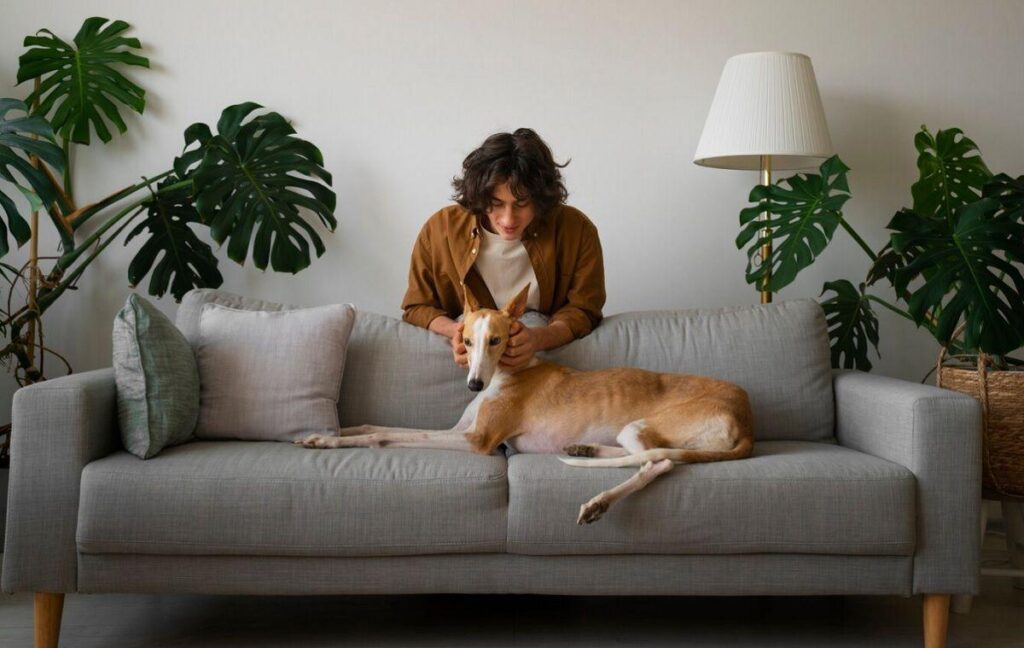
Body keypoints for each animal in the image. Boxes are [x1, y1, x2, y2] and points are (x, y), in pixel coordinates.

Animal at [296, 284, 753, 524]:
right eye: (466, 341)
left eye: (497, 340)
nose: (473, 385)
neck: (506, 373)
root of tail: (746, 417)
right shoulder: (461, 430)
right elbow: (377, 425)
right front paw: (330, 430)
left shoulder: (477, 440)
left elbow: (386, 436)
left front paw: (331, 441)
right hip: (634, 431)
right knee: (647, 457)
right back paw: (584, 449)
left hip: (642, 426)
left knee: (659, 463)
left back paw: (599, 501)